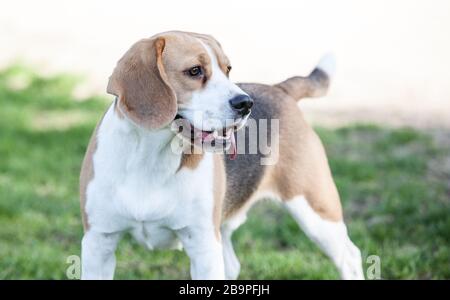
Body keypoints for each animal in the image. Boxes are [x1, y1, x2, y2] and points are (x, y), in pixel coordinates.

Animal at [79, 30, 364, 278]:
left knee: (350, 257)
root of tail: (280, 89)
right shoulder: (98, 243)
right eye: (195, 71)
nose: (245, 104)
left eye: (228, 70)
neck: (150, 158)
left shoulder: (203, 244)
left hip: (315, 210)